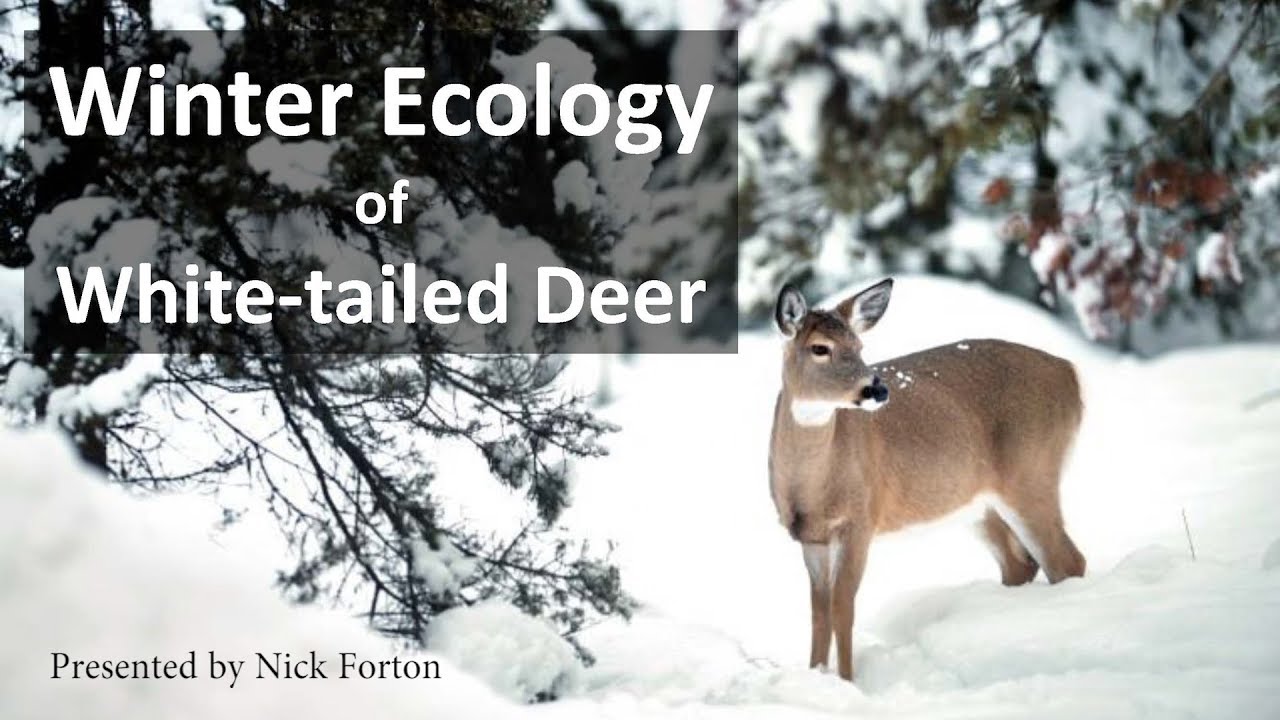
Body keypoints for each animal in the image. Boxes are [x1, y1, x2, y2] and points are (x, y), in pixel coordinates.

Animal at [767, 278, 1086, 682]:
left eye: (860, 346)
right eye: (819, 348)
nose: (876, 389)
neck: (813, 488)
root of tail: (1071, 372)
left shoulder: (861, 520)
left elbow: (843, 607)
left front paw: (847, 682)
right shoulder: (811, 537)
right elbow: (819, 613)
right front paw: (818, 676)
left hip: (1033, 472)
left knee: (1067, 562)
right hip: (977, 504)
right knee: (1021, 565)